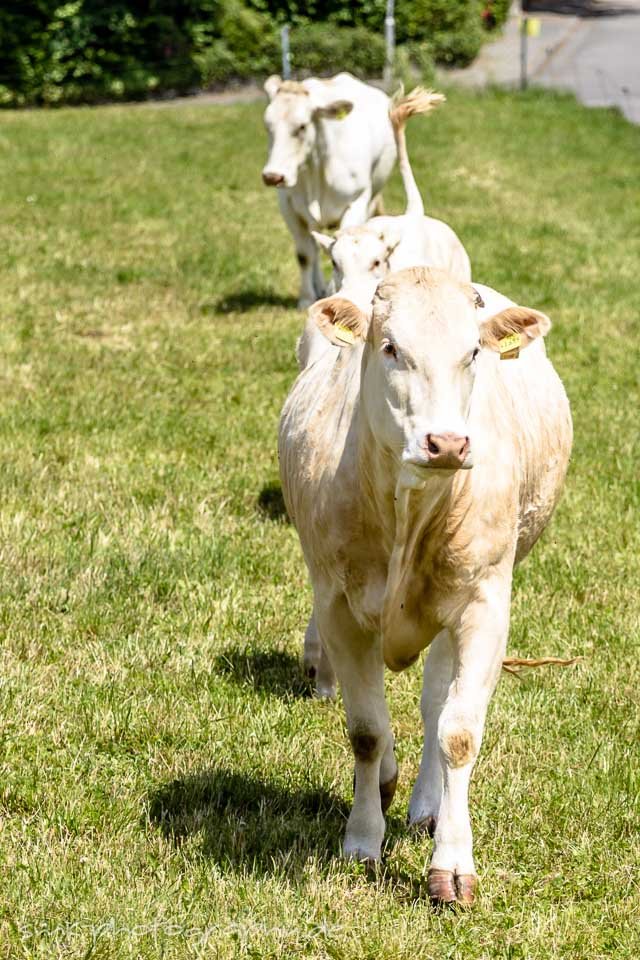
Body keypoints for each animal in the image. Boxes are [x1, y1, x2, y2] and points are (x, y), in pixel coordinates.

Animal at [262, 73, 398, 310]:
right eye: (267, 125)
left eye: (302, 126)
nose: (272, 176)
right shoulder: (288, 207)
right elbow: (305, 255)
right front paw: (307, 297)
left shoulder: (357, 201)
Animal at [278, 266, 572, 904]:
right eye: (390, 348)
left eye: (473, 352)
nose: (448, 443)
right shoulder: (339, 608)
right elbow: (366, 731)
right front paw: (362, 840)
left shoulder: (485, 605)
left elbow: (457, 732)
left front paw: (452, 864)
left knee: (437, 702)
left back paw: (427, 806)